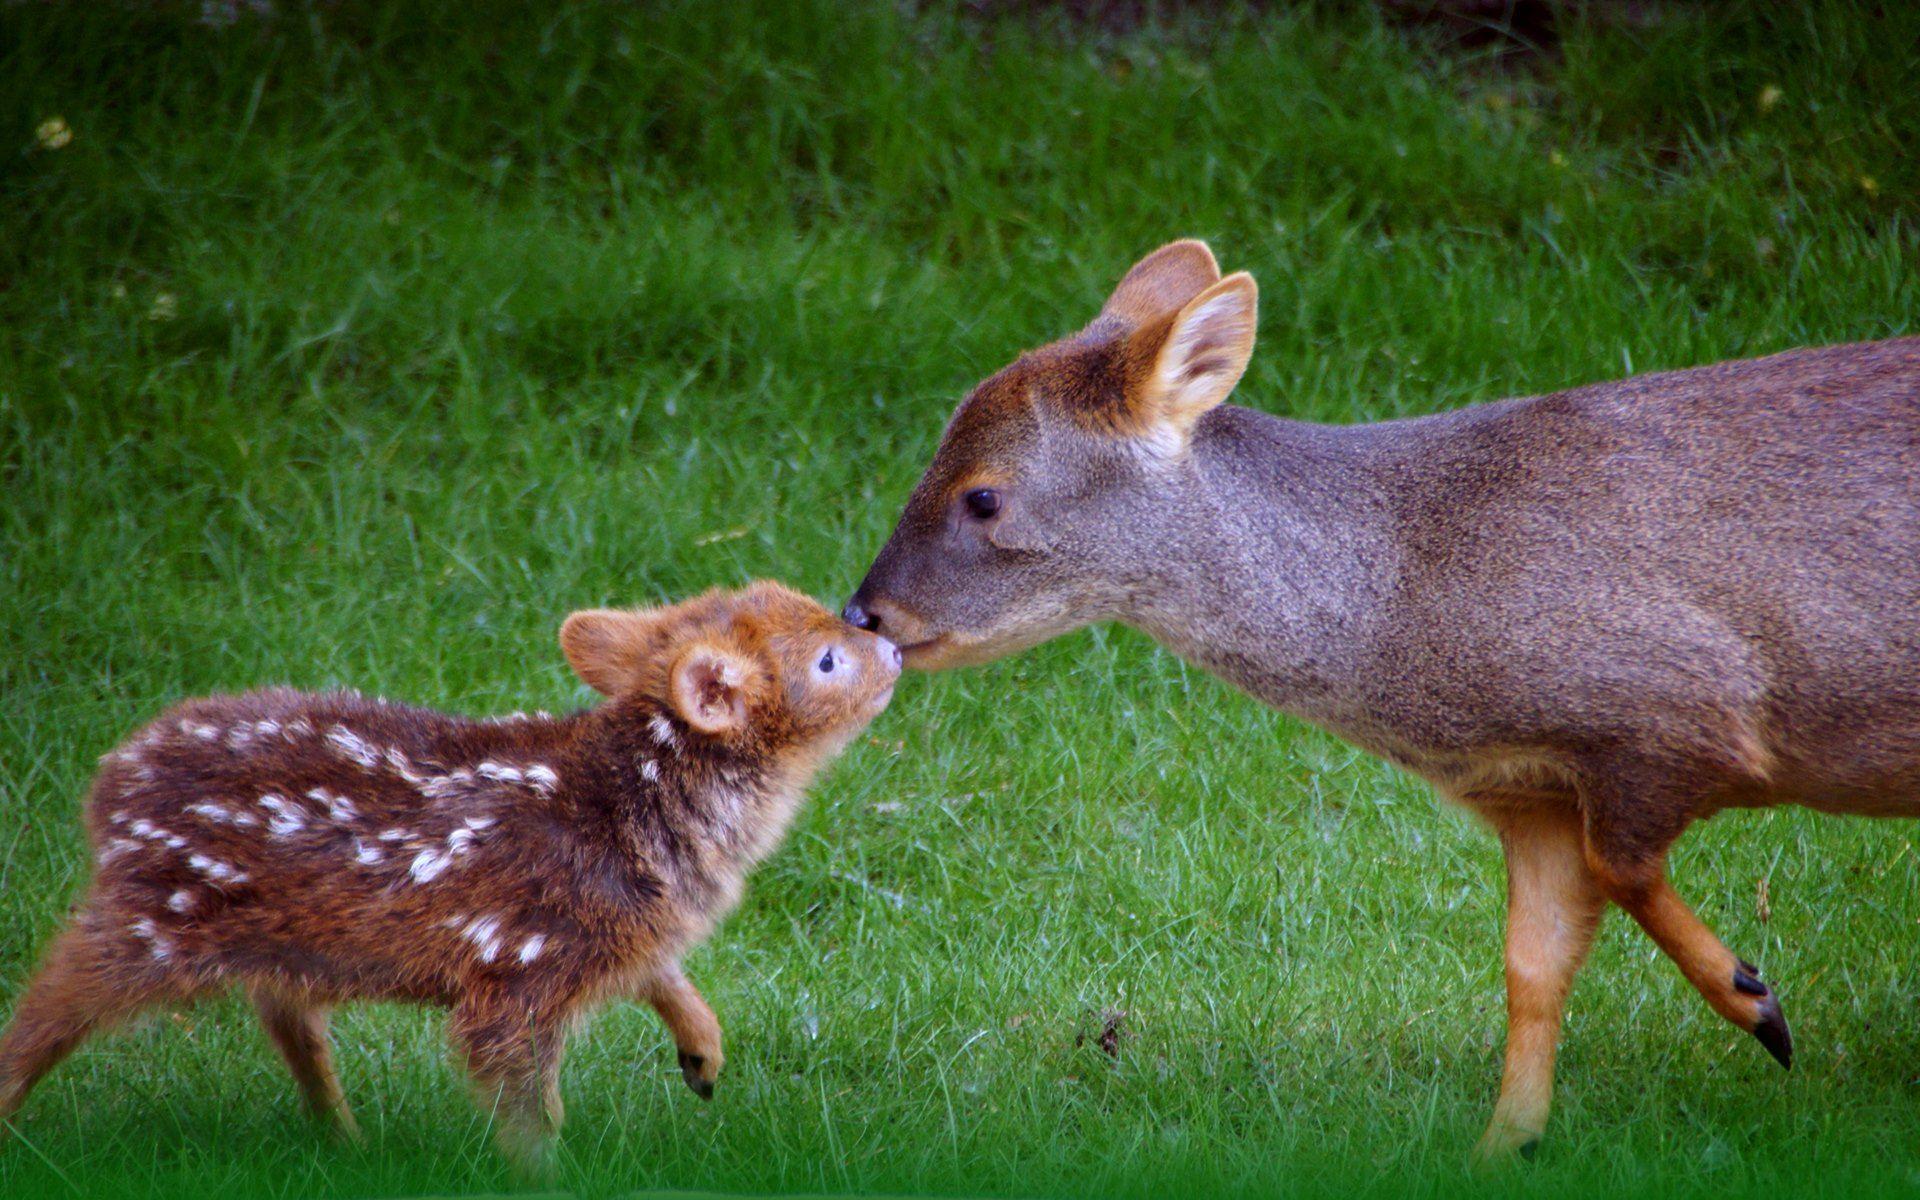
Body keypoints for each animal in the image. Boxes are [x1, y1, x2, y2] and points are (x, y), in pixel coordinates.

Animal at [842, 238, 1920, 1160]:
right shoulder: (1527, 793)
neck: (1406, 597)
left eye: (984, 496)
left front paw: (1758, 1005)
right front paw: (1504, 1145)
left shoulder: (1674, 710)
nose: (864, 612)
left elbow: (1622, 868)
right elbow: (1532, 967)